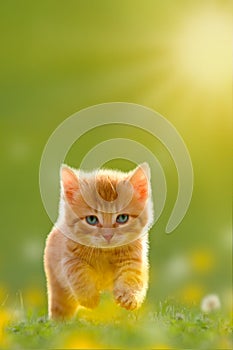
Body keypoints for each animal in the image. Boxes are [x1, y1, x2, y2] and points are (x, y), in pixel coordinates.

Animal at [43, 163, 153, 318]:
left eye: (122, 218)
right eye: (91, 219)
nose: (107, 235)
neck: (105, 252)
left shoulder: (134, 258)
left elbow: (132, 276)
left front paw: (129, 297)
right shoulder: (69, 258)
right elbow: (78, 274)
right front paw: (89, 298)